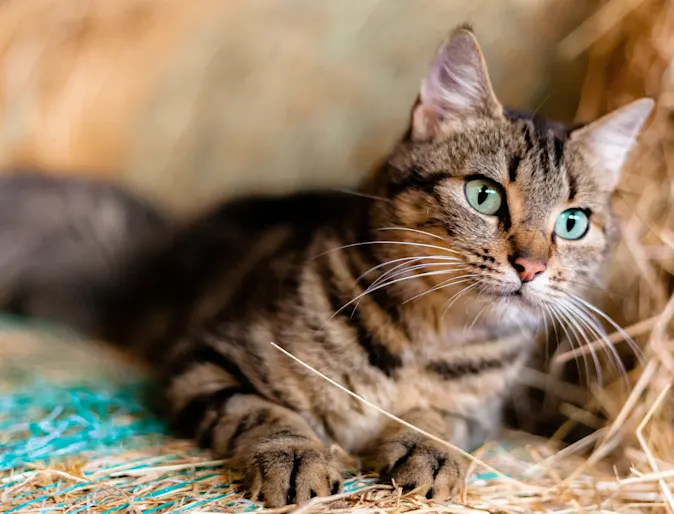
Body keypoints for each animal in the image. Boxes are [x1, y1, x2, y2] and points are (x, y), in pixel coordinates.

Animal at [0, 27, 652, 504]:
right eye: (484, 195)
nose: (531, 266)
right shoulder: (204, 358)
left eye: (573, 223)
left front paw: (429, 451)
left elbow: (445, 422)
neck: (430, 337)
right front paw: (296, 457)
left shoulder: (479, 409)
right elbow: (261, 411)